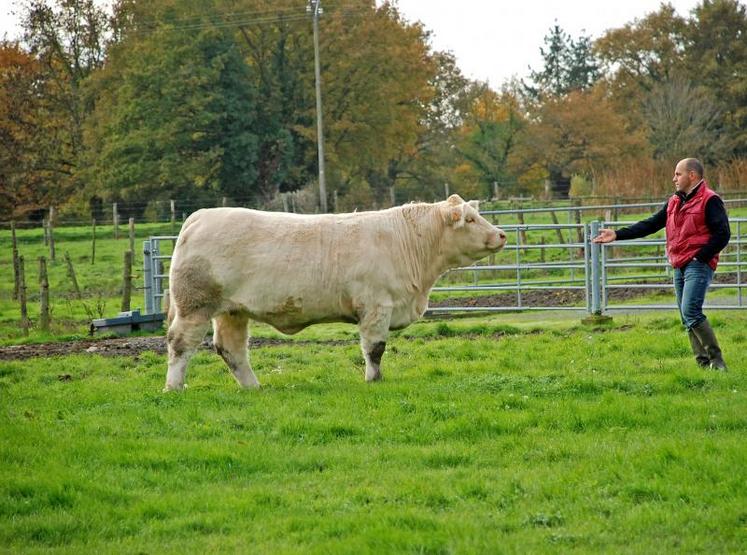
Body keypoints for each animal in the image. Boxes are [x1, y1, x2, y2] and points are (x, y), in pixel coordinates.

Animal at [165, 195, 508, 390]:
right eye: (471, 219)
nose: (502, 235)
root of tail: (199, 216)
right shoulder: (376, 306)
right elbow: (375, 349)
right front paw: (373, 380)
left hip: (232, 311)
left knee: (231, 349)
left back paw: (253, 387)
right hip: (194, 306)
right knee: (180, 344)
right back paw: (174, 387)